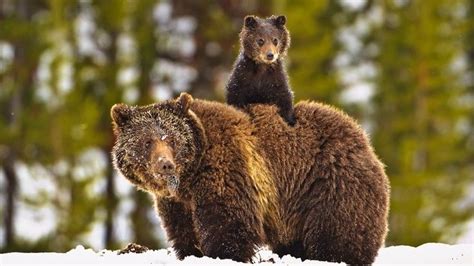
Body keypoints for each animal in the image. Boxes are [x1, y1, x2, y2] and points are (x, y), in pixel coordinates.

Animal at [111, 93, 388, 264]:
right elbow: (184, 231)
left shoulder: (227, 169)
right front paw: (192, 253)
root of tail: (363, 137)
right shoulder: (177, 202)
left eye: (172, 139)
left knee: (338, 232)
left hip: (328, 183)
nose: (165, 164)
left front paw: (222, 254)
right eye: (147, 141)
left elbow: (227, 224)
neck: (189, 177)